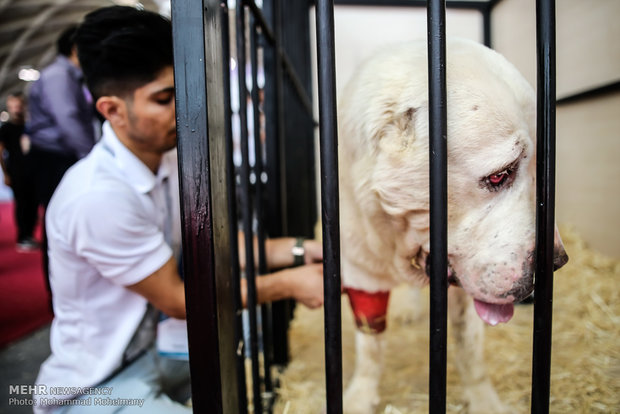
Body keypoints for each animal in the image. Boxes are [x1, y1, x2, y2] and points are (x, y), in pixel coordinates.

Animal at [336, 37, 568, 412]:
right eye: (500, 175)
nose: (558, 261)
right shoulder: (360, 273)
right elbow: (370, 347)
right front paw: (359, 396)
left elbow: (469, 346)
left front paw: (484, 400)